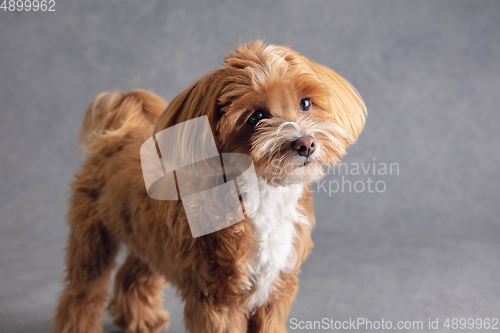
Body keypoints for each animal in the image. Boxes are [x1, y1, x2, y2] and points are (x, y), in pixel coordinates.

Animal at [53, 40, 368, 330]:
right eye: (256, 116)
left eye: (305, 103)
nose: (305, 143)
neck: (265, 196)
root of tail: (121, 135)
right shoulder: (219, 298)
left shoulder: (276, 289)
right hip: (93, 235)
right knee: (85, 290)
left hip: (149, 238)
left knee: (134, 274)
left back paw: (142, 319)